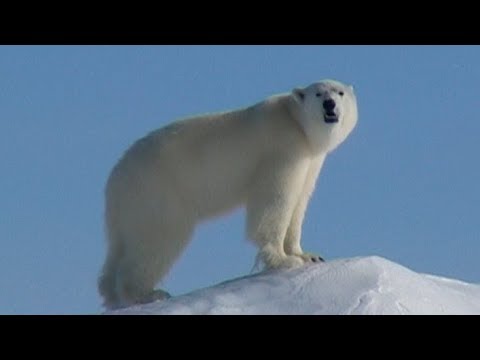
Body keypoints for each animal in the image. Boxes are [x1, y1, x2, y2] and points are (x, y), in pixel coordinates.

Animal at [99, 79, 358, 310]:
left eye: (340, 92)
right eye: (318, 93)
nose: (329, 104)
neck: (296, 123)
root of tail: (116, 174)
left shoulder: (310, 160)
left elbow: (299, 202)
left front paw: (308, 255)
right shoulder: (282, 148)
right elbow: (275, 201)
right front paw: (283, 259)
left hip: (129, 204)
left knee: (121, 245)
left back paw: (111, 294)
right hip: (158, 190)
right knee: (159, 238)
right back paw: (147, 293)